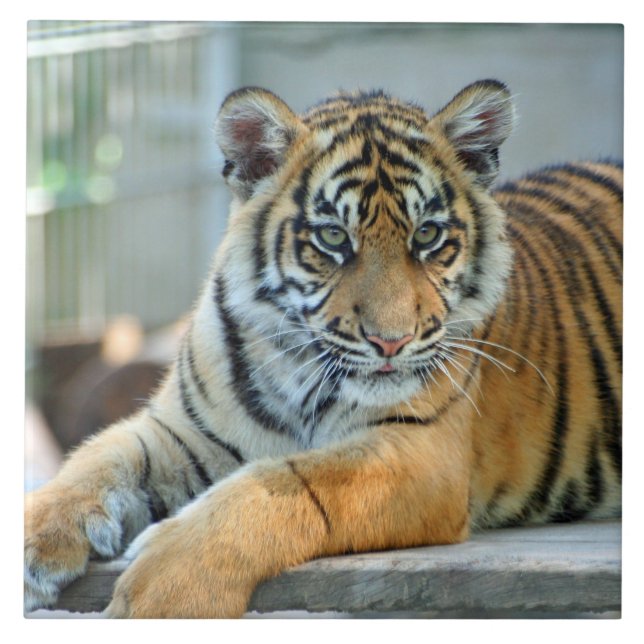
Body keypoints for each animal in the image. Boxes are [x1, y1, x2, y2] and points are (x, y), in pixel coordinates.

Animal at [24, 79, 622, 618]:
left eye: (427, 236)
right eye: (333, 238)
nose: (391, 340)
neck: (296, 369)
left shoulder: (422, 453)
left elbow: (286, 483)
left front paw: (164, 589)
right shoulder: (183, 432)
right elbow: (96, 460)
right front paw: (32, 536)